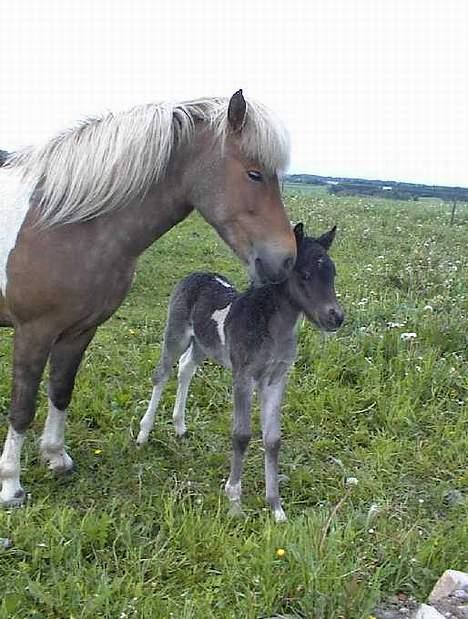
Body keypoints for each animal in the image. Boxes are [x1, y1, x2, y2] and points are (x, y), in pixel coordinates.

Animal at [137, 224, 342, 524]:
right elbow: (242, 435)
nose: (336, 317)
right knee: (161, 374)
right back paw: (143, 433)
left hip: (203, 344)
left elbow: (273, 440)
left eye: (333, 273)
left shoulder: (276, 380)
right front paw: (234, 500)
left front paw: (276, 508)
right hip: (176, 335)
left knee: (186, 368)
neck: (272, 328)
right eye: (305, 275)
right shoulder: (243, 377)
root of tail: (198, 274)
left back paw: (180, 426)